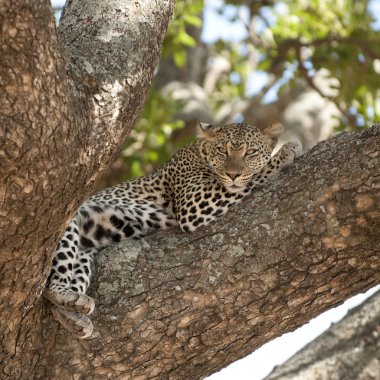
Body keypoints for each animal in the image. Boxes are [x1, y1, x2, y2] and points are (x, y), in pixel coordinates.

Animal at [43, 122, 302, 338]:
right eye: (222, 151)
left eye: (251, 152)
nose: (233, 173)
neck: (201, 152)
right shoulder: (194, 203)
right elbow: (249, 179)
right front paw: (286, 152)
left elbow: (248, 177)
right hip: (66, 226)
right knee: (51, 286)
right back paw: (63, 295)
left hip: (84, 251)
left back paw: (73, 314)